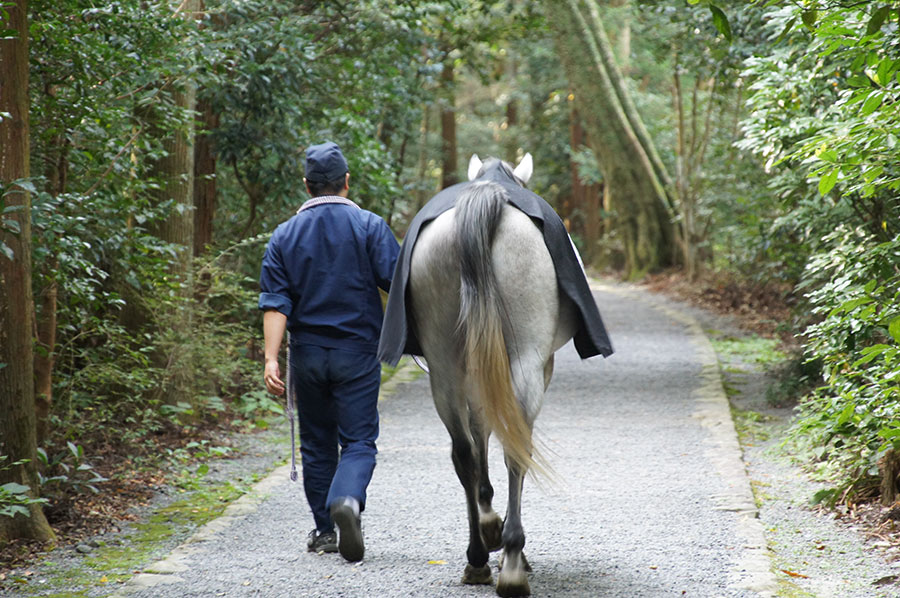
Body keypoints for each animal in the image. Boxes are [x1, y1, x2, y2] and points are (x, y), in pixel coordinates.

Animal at [407, 153, 579, 597]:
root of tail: (487, 200)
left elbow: (478, 434)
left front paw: (488, 524)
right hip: (525, 360)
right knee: (516, 448)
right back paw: (512, 560)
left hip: (444, 367)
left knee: (464, 451)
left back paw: (477, 557)